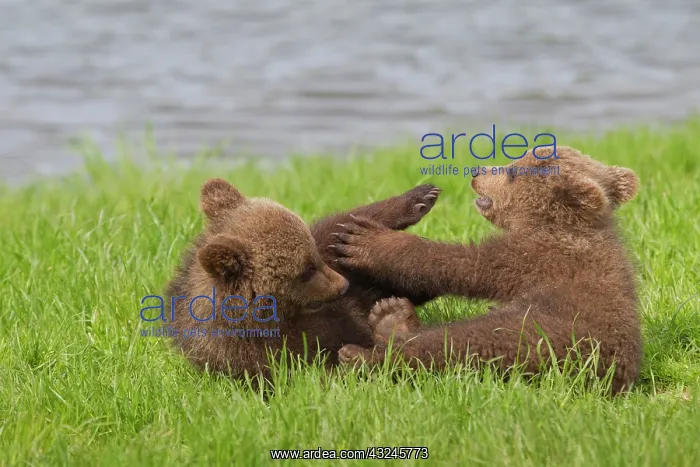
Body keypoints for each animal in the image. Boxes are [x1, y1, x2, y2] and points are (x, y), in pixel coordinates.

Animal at [165, 178, 442, 379]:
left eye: (313, 258)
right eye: (304, 272)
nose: (342, 286)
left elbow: (338, 226)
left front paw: (420, 197)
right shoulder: (277, 353)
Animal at [329, 146, 642, 394]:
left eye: (513, 173)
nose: (477, 171)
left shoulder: (534, 258)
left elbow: (462, 263)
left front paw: (363, 240)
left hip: (537, 337)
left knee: (451, 345)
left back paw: (361, 355)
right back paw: (391, 316)